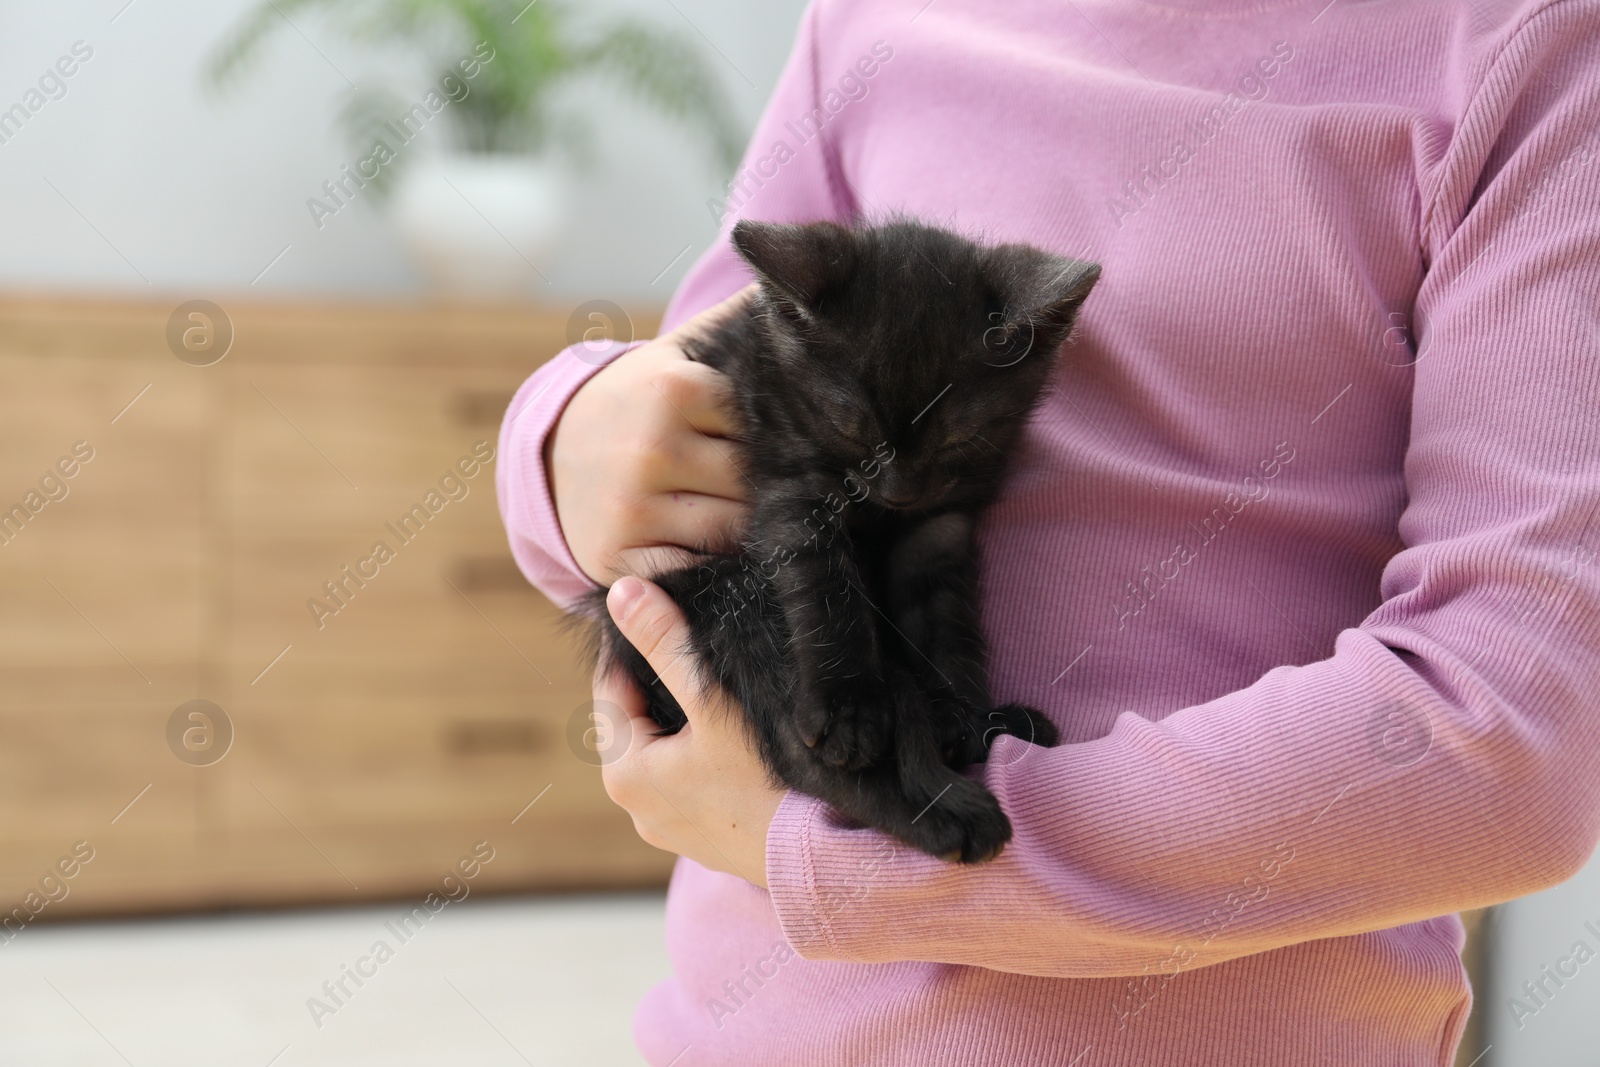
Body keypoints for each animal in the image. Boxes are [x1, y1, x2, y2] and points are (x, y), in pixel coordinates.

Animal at [579, 220, 1100, 863]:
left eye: (959, 439)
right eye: (853, 430)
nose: (900, 491)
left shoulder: (939, 524)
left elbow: (944, 620)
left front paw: (962, 711)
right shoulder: (792, 489)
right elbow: (827, 591)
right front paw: (851, 709)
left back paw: (988, 727)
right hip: (722, 592)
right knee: (796, 750)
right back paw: (949, 814)